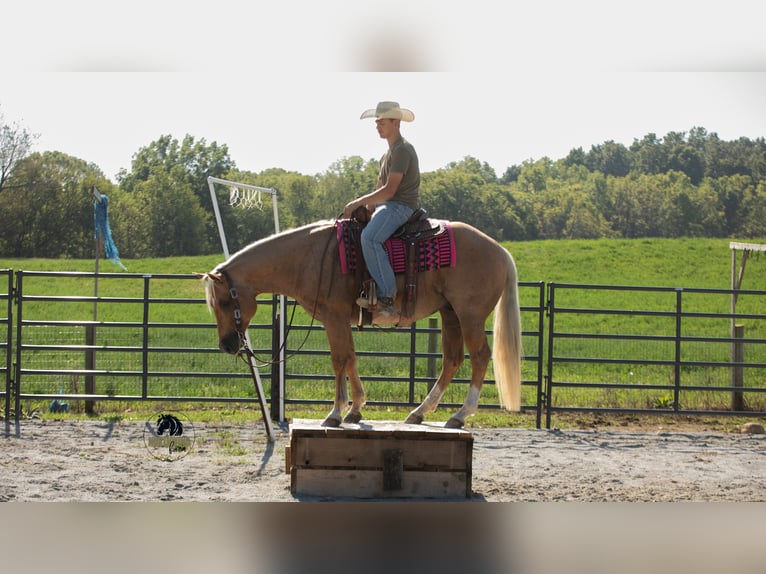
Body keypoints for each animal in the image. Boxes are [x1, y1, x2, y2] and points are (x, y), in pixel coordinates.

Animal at [198, 218, 522, 428]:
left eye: (224, 302)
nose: (226, 345)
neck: (308, 258)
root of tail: (500, 250)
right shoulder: (341, 319)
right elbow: (352, 358)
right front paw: (355, 410)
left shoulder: (333, 317)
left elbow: (339, 360)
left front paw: (335, 413)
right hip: (450, 313)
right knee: (452, 360)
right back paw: (420, 412)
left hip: (469, 315)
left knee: (479, 356)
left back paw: (460, 415)